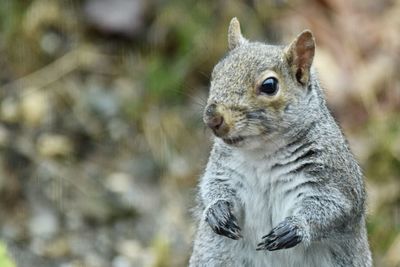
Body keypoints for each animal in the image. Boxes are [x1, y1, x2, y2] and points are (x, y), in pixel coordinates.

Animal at [189, 17, 374, 267]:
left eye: (269, 85)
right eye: (216, 73)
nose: (212, 117)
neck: (262, 152)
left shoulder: (337, 178)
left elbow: (336, 208)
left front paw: (295, 227)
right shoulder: (222, 168)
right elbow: (210, 187)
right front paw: (217, 210)